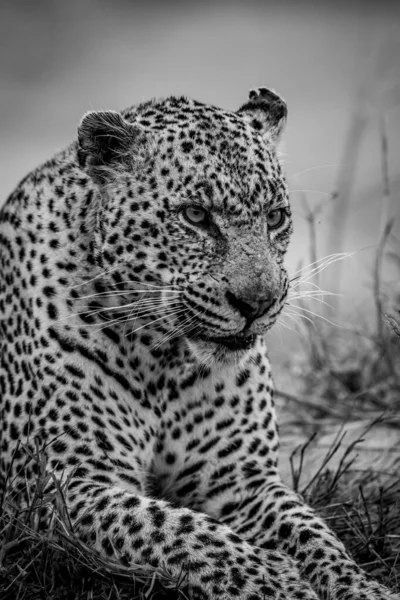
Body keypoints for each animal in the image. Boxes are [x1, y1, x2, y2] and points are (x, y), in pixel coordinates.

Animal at [0, 85, 396, 600]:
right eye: (195, 215)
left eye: (275, 217)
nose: (257, 302)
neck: (161, 359)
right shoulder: (61, 486)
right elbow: (177, 528)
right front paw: (277, 581)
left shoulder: (241, 481)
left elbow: (315, 534)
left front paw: (363, 587)